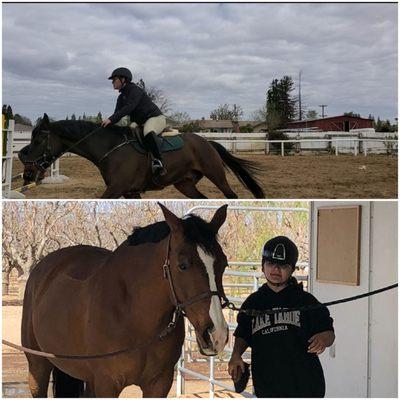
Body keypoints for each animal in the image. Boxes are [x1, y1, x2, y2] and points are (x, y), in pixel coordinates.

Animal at [19, 114, 266, 198]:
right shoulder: (129, 192)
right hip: (185, 184)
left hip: (216, 174)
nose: (27, 173)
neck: (110, 147)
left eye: (38, 141)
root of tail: (207, 142)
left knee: (231, 196)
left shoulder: (116, 189)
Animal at [21, 203, 228, 396]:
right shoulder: (107, 383)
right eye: (182, 265)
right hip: (38, 365)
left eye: (224, 263)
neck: (133, 316)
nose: (217, 335)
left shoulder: (159, 383)